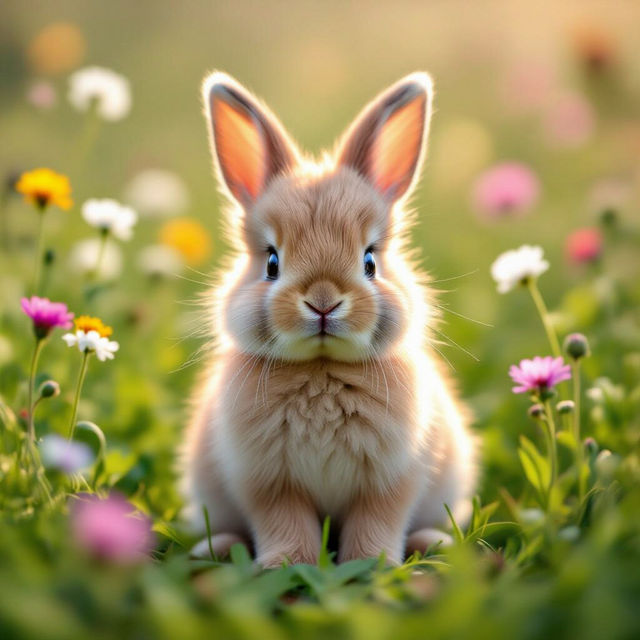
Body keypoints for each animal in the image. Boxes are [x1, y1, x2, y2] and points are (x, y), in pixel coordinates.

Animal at [181, 71, 477, 567]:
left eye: (370, 261)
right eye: (272, 262)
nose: (323, 302)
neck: (321, 368)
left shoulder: (389, 482)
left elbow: (376, 524)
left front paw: (372, 565)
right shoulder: (268, 484)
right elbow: (285, 524)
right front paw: (286, 565)